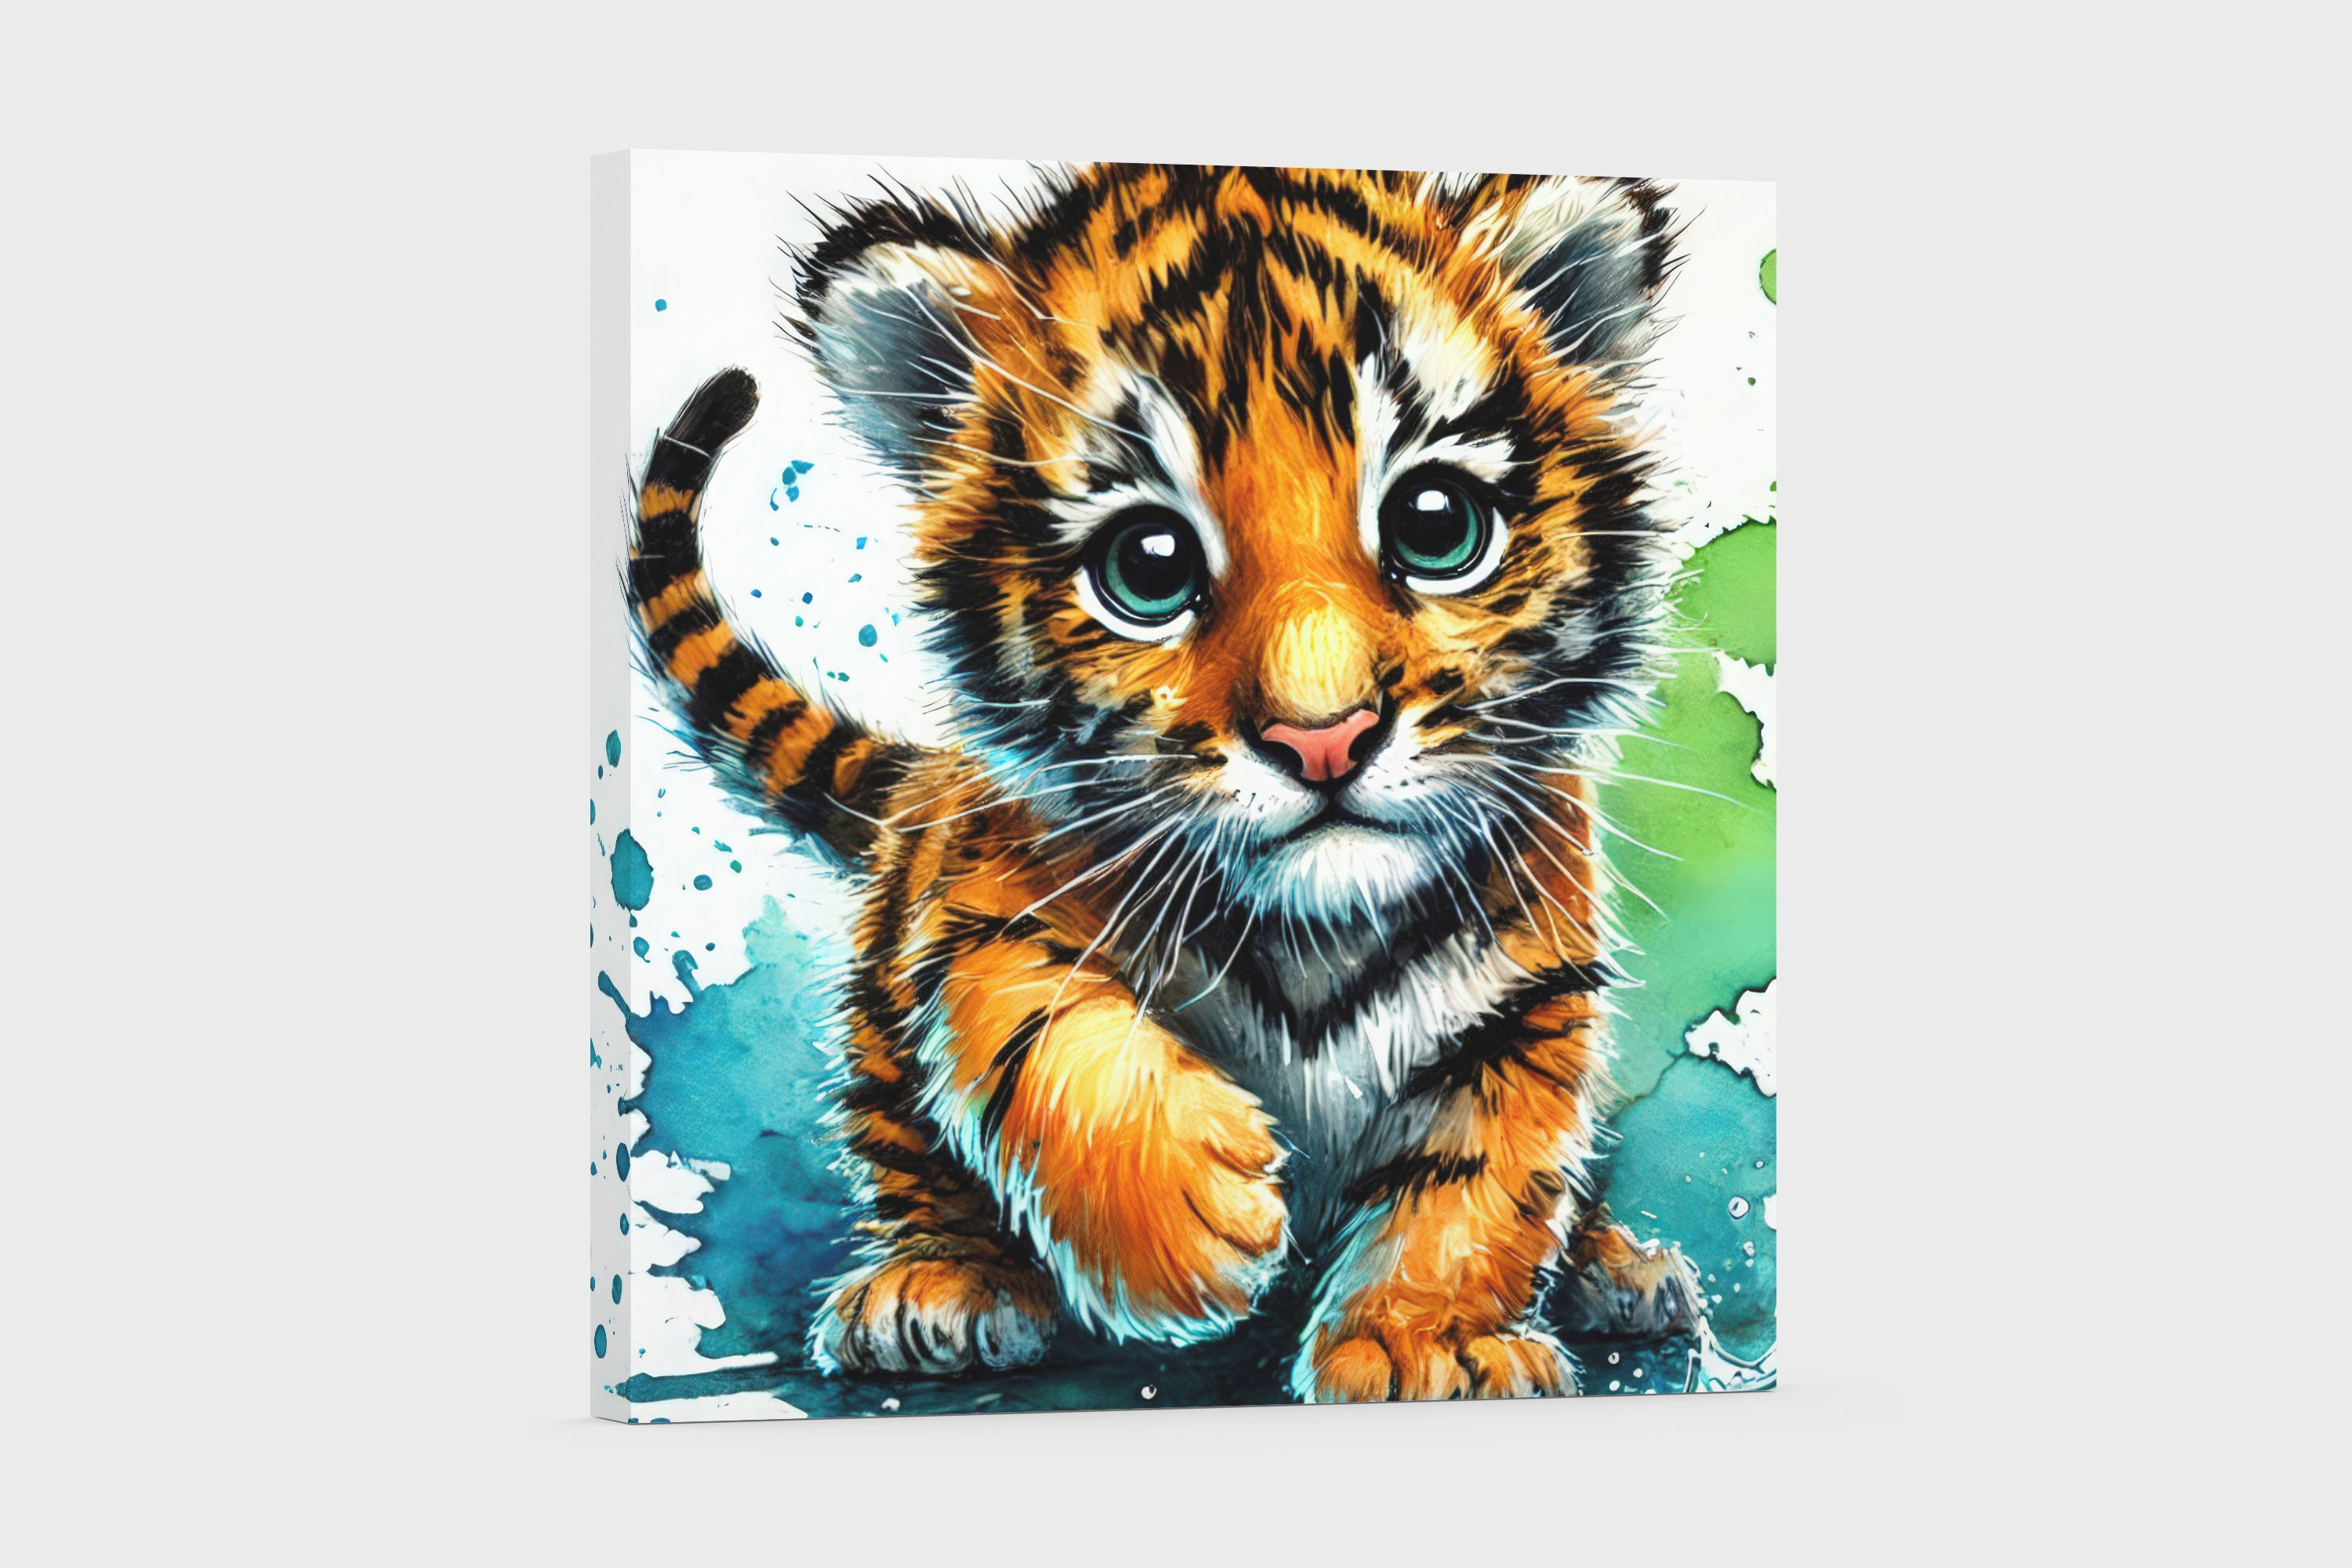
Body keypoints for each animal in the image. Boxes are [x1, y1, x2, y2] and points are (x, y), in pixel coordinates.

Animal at [625, 164, 1706, 1403]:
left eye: (1437, 526)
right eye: (1148, 566)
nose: (1325, 740)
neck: (1316, 931)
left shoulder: (1527, 996)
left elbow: (1481, 1179)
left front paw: (1425, 1343)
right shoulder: (981, 918)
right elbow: (1043, 1039)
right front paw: (1191, 1226)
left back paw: (1622, 1272)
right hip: (883, 1030)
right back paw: (937, 1287)